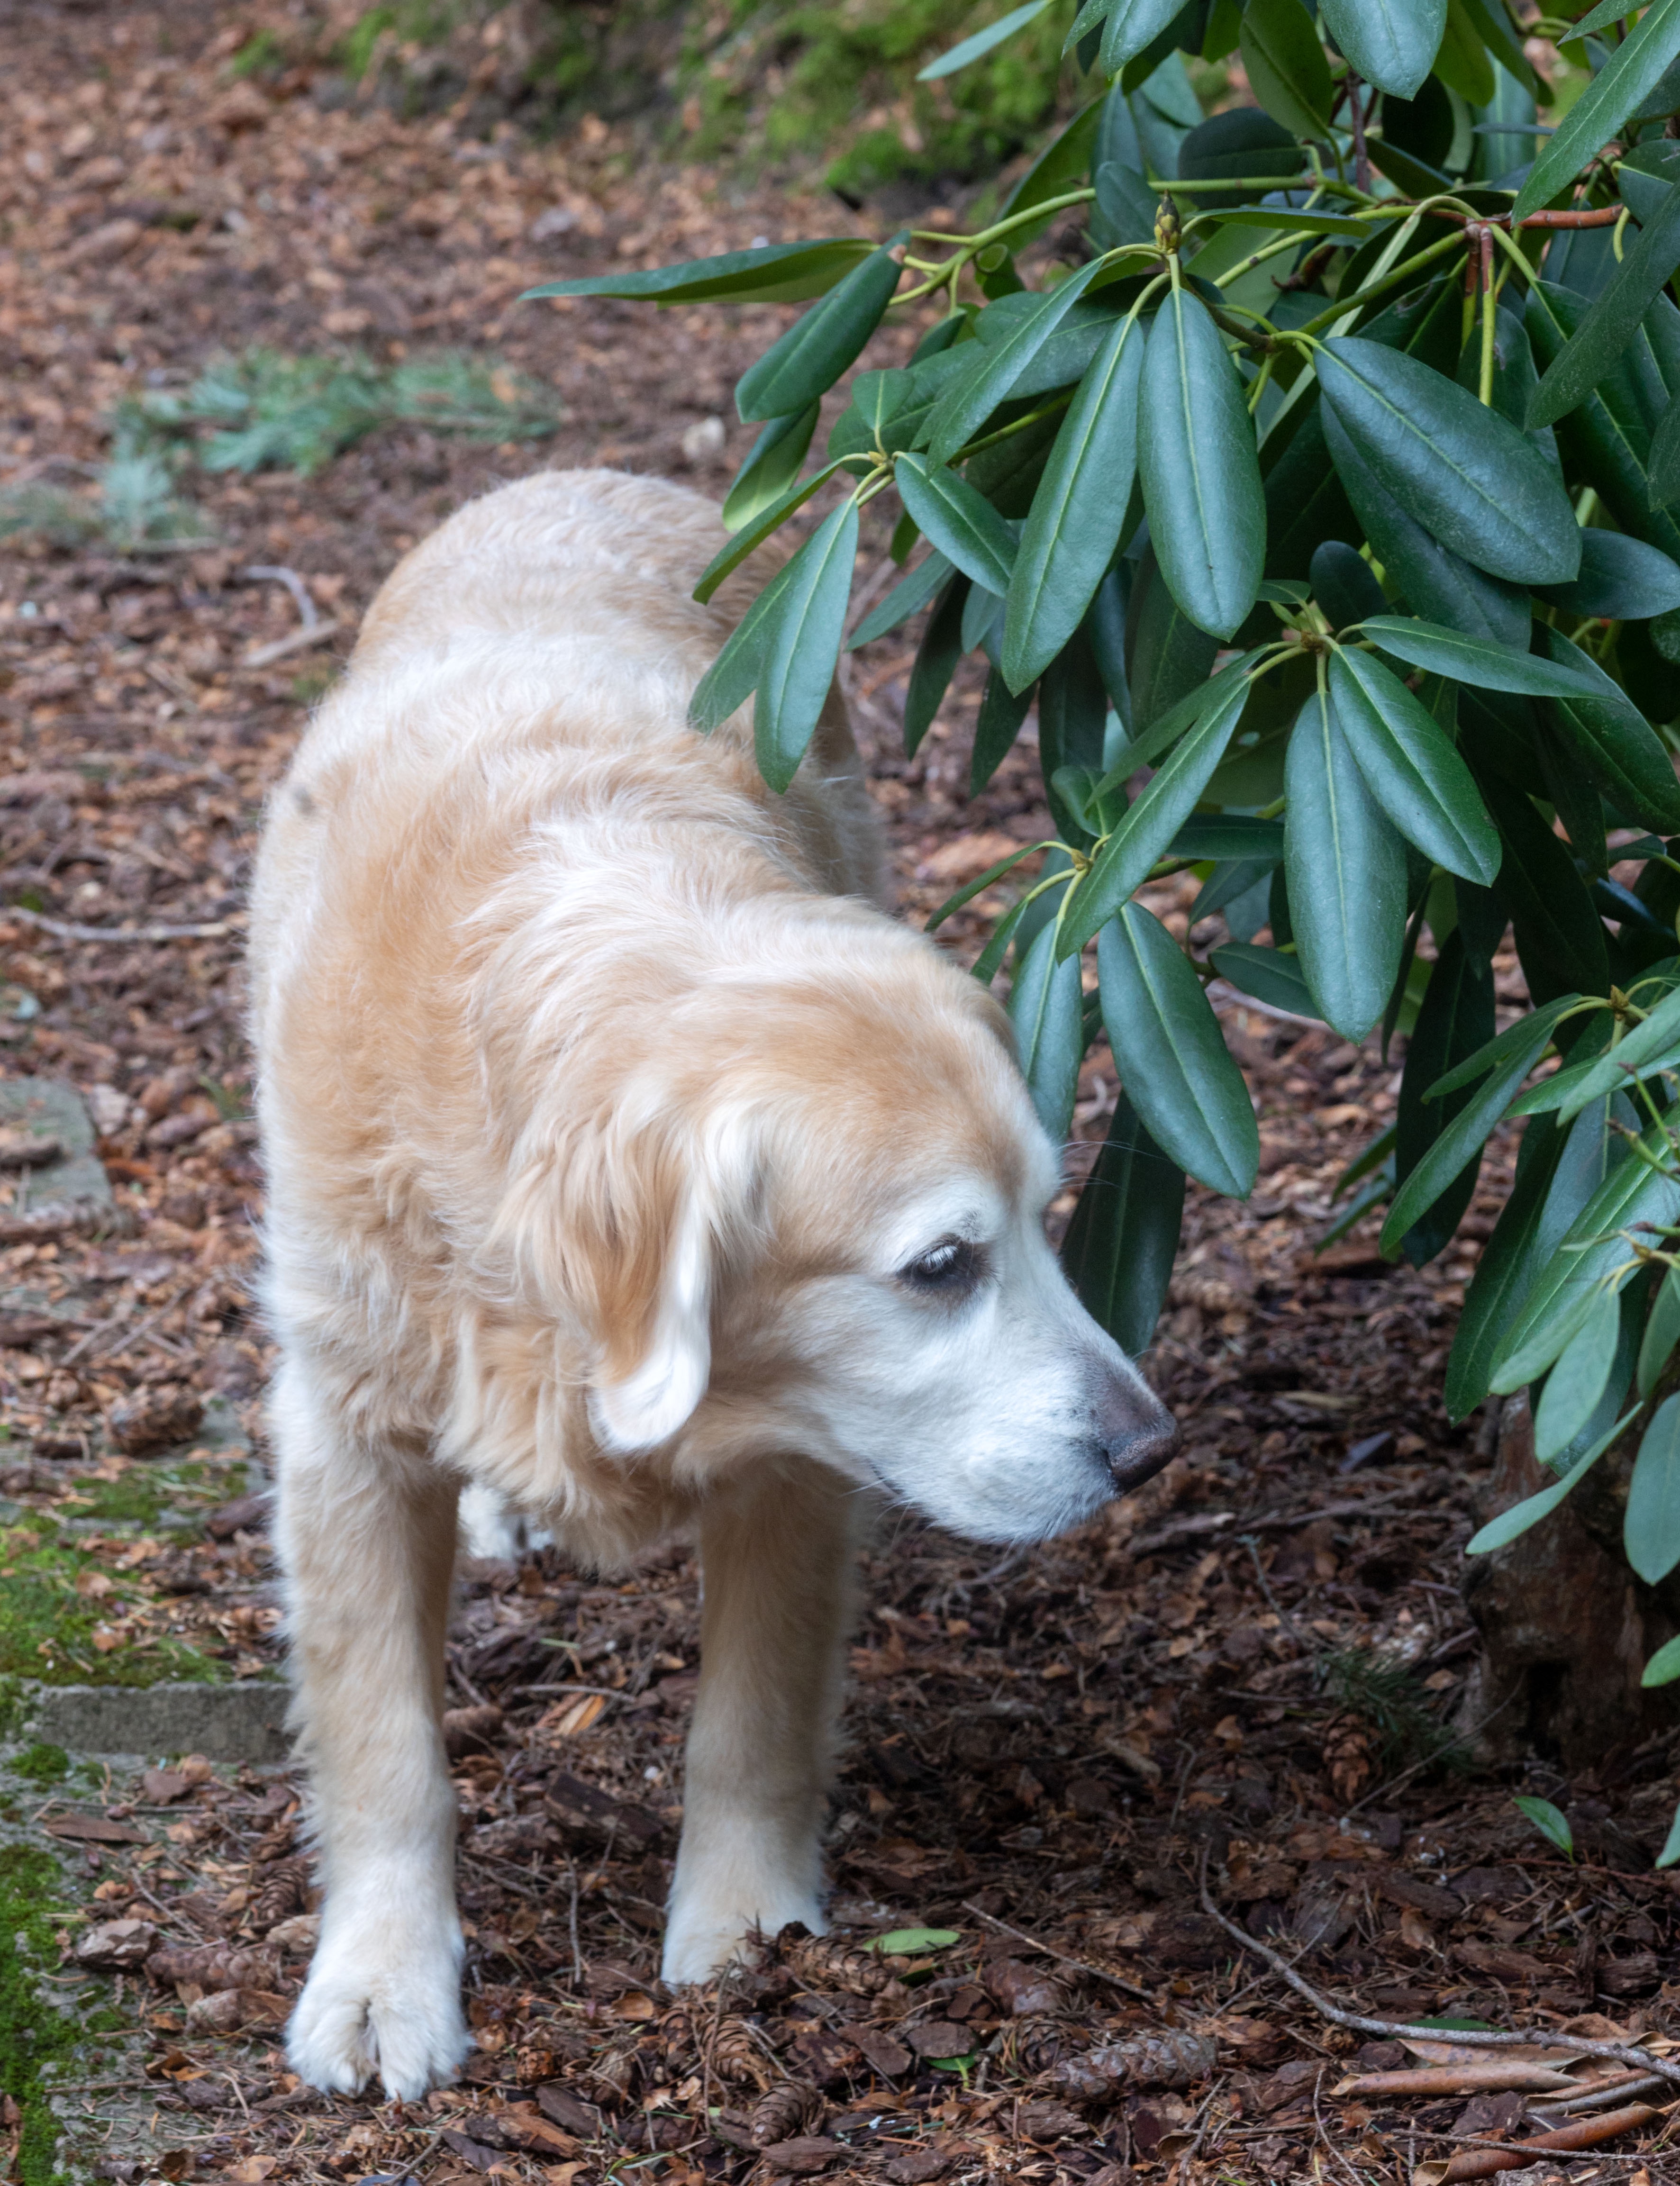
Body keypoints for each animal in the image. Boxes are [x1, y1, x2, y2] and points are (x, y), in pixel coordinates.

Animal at [249, 474, 1181, 2098]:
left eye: (1044, 1221)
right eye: (943, 1266)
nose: (1147, 1448)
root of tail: (585, 475)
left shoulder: (806, 1455)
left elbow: (748, 1714)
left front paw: (748, 1936)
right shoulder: (340, 1423)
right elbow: (384, 1746)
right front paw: (379, 1977)